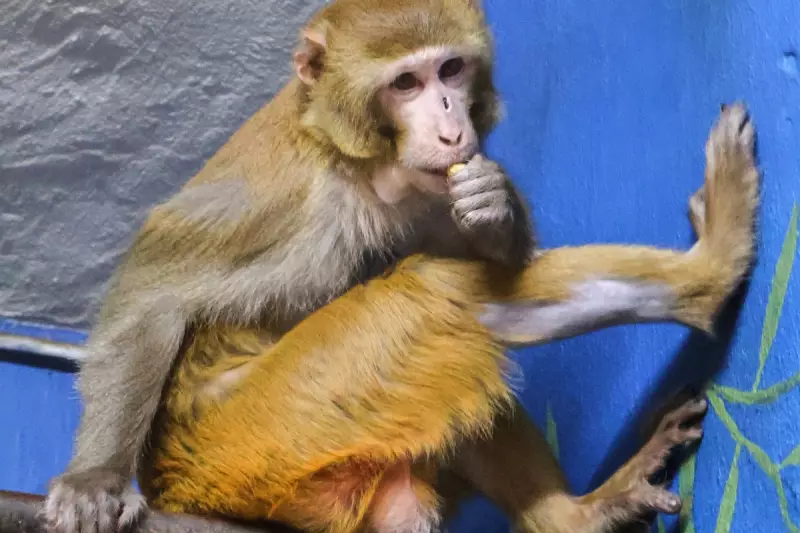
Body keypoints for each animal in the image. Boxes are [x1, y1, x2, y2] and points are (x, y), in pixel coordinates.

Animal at [42, 0, 758, 532]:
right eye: (406, 83)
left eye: (452, 70)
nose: (449, 122)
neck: (365, 166)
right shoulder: (288, 202)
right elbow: (152, 296)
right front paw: (94, 481)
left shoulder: (432, 189)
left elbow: (490, 251)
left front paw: (496, 205)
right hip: (256, 437)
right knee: (438, 292)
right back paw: (713, 273)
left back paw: (573, 516)